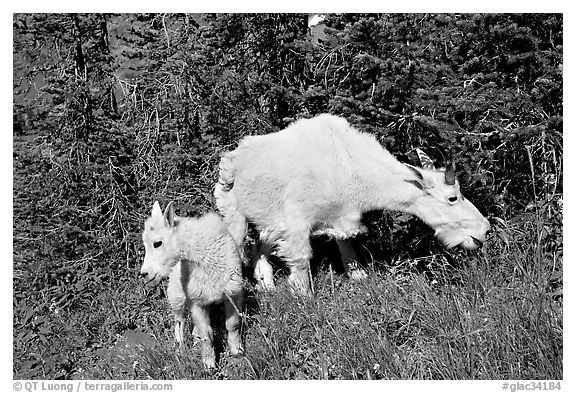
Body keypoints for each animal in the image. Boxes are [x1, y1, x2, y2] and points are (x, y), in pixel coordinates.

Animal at [214, 113, 488, 294]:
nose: (483, 231)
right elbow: (301, 258)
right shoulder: (297, 219)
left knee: (259, 245)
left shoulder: (343, 216)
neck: (350, 165)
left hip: (270, 221)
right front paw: (303, 296)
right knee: (238, 244)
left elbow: (348, 247)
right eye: (452, 198)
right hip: (233, 211)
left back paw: (267, 284)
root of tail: (232, 155)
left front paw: (358, 277)